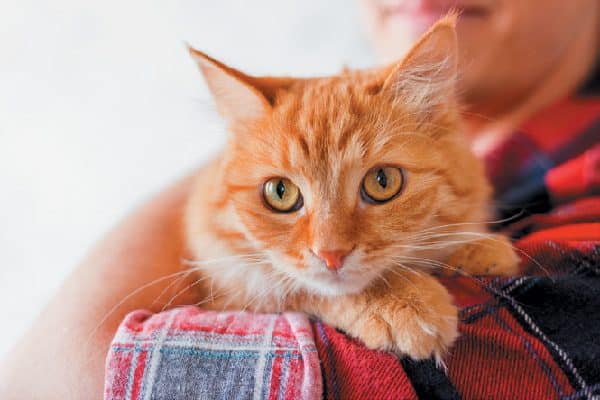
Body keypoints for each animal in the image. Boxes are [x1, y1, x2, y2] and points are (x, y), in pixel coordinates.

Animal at [185, 15, 516, 360]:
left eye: (382, 180)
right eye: (280, 192)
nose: (331, 255)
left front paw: (475, 248)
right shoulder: (232, 291)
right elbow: (300, 290)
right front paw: (402, 302)